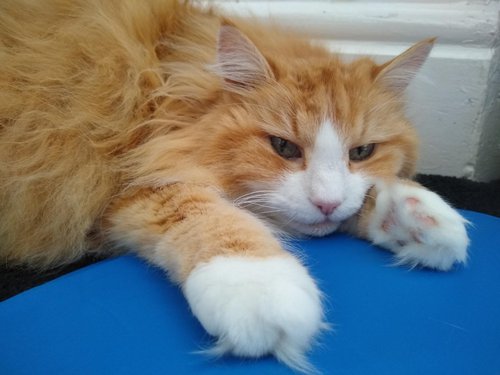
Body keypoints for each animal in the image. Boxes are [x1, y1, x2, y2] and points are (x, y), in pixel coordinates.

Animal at [0, 0, 468, 374]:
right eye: (283, 147)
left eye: (362, 152)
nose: (327, 204)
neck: (164, 77)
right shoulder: (129, 184)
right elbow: (210, 215)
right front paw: (256, 286)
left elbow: (371, 195)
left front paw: (418, 214)